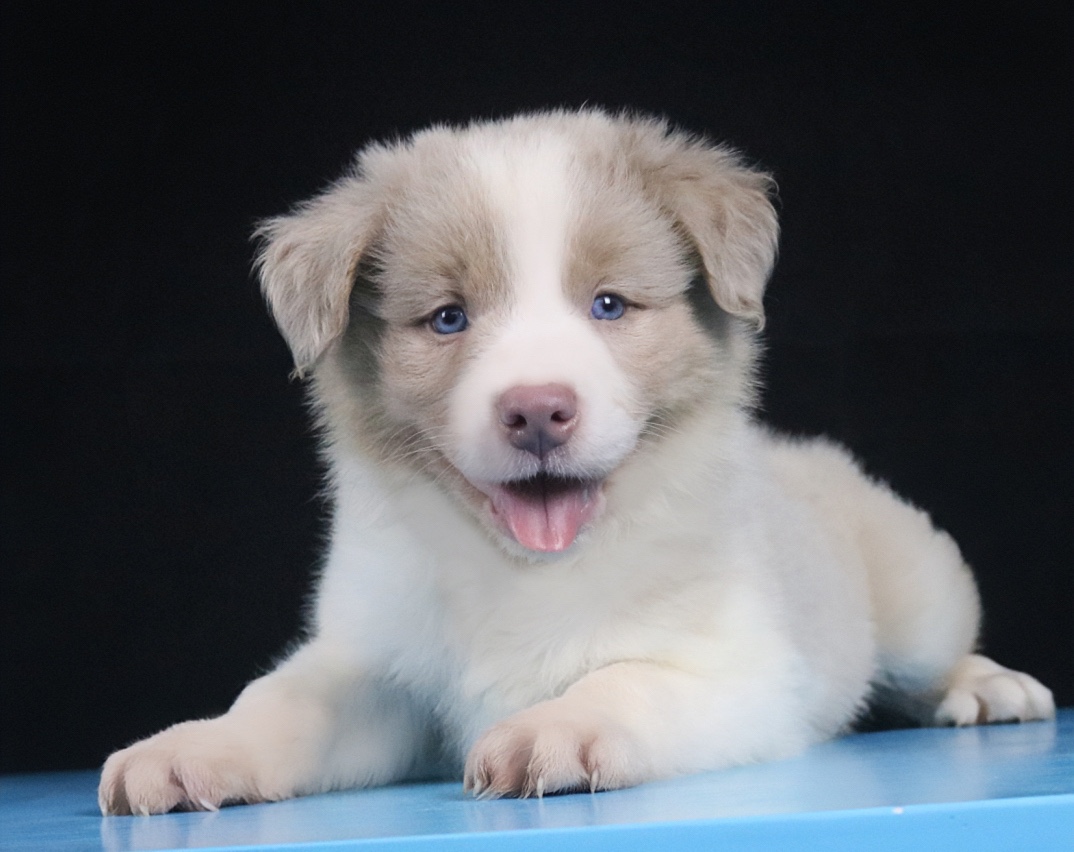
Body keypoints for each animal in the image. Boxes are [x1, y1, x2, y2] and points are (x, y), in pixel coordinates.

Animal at [100, 109, 1056, 812]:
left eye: (609, 305)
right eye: (448, 318)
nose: (536, 411)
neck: (525, 570)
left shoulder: (740, 671)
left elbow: (624, 678)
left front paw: (551, 728)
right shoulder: (375, 661)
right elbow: (281, 700)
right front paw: (192, 747)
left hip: (917, 590)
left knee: (933, 657)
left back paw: (993, 688)